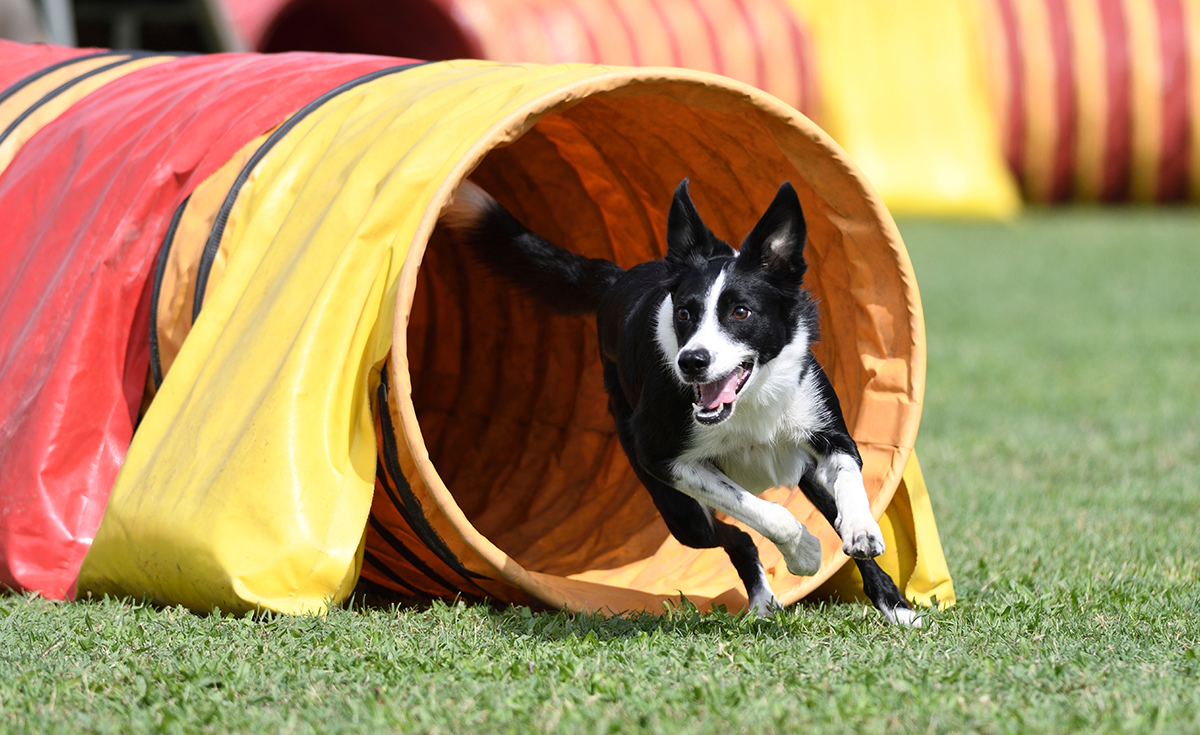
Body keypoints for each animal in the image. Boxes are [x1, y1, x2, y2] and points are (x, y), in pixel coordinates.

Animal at [441, 178, 916, 624]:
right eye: (684, 313)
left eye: (741, 312)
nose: (691, 361)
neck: (751, 402)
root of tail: (618, 278)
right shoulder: (663, 459)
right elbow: (765, 513)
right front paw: (805, 553)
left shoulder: (828, 434)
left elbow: (851, 484)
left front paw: (863, 535)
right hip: (679, 513)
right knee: (737, 538)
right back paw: (764, 599)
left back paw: (893, 605)